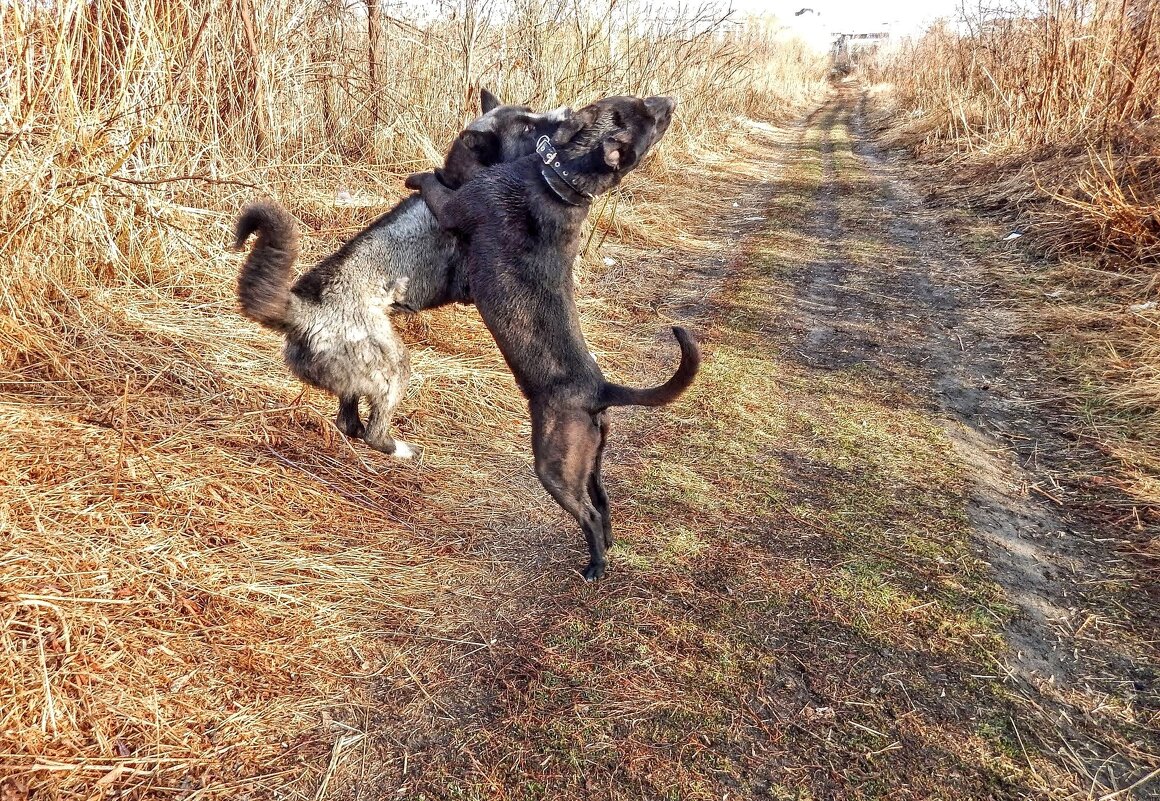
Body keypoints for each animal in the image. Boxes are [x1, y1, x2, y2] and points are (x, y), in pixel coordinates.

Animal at [233, 91, 568, 456]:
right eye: (527, 128)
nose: (566, 116)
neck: (460, 181)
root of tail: (305, 313)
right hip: (395, 366)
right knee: (373, 432)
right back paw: (401, 450)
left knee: (348, 422)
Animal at [406, 95, 696, 581]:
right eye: (640, 111)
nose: (670, 101)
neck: (558, 178)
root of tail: (599, 390)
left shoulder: (456, 205)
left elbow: (432, 184)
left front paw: (417, 175)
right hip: (591, 460)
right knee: (603, 499)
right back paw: (609, 545)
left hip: (555, 465)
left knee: (588, 513)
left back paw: (595, 564)